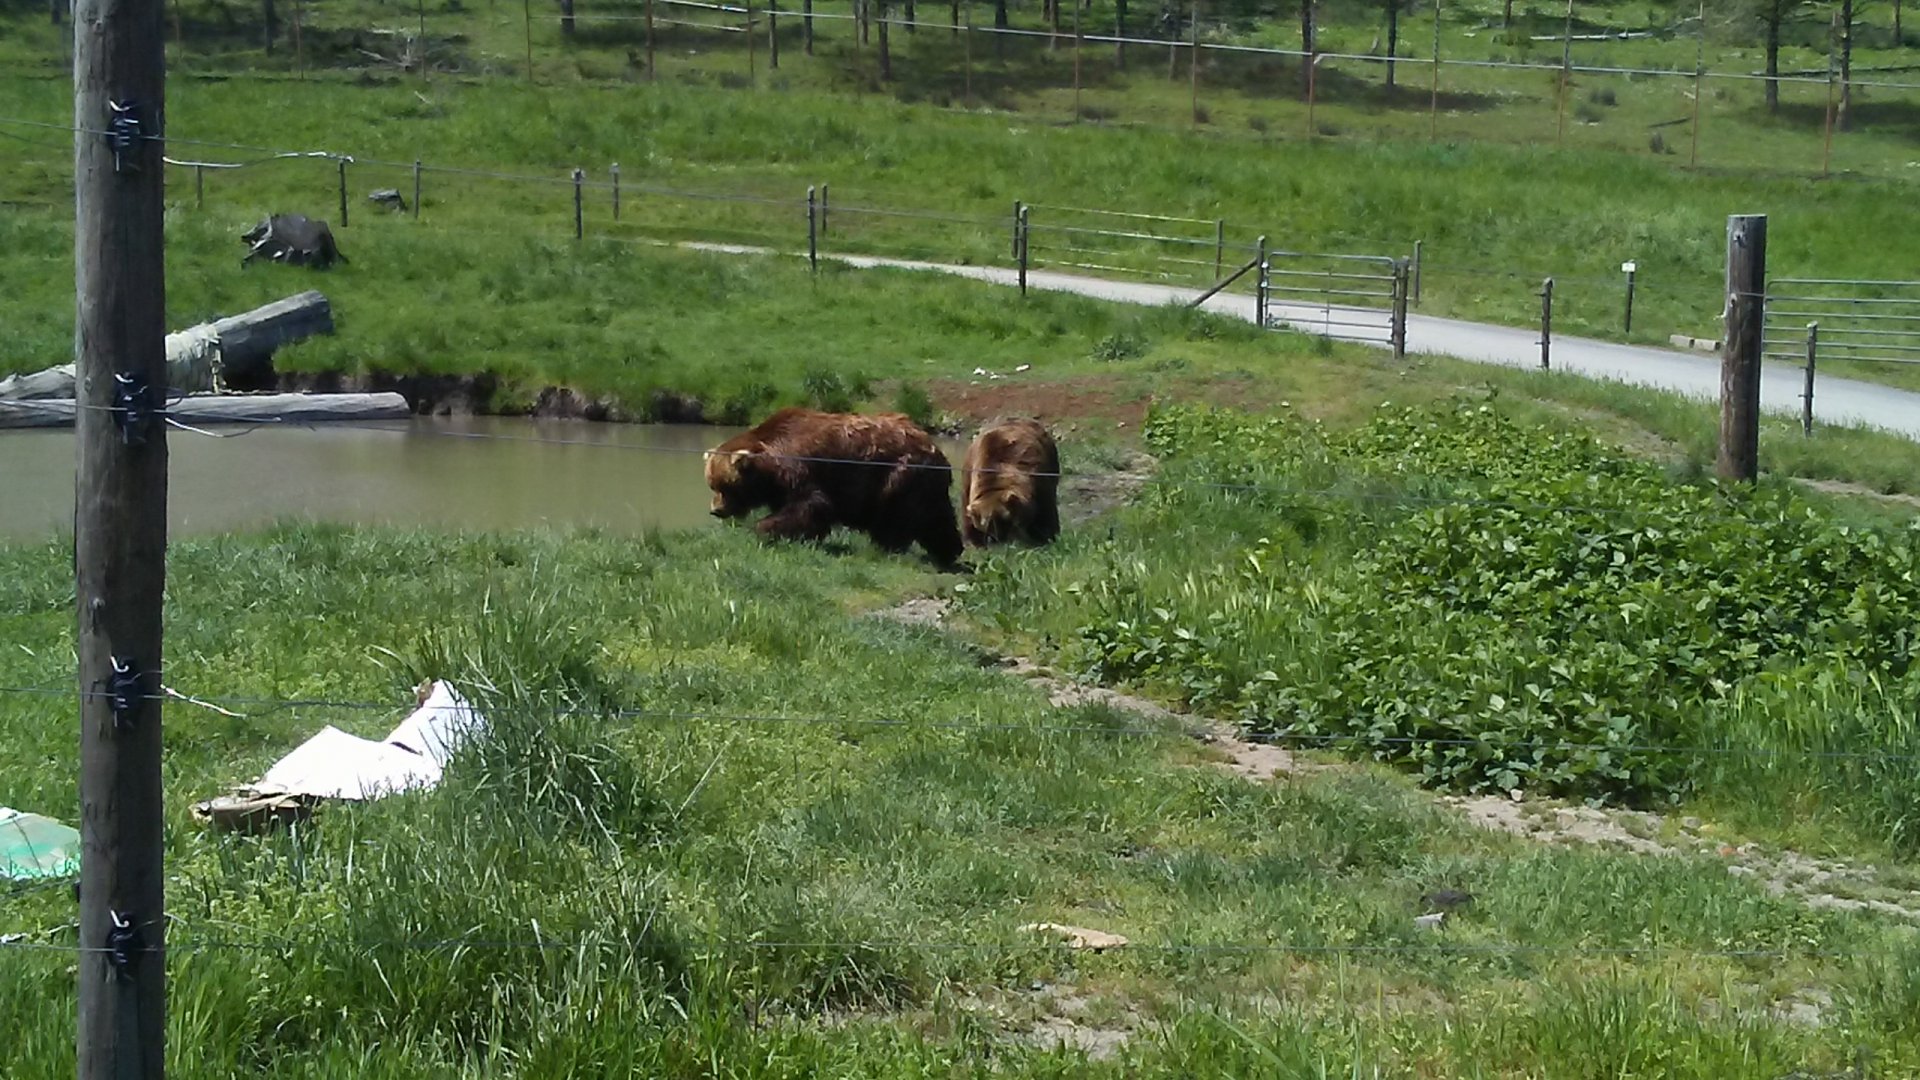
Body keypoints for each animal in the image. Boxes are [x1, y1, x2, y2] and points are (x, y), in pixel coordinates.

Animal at [705, 406, 965, 568]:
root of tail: (933, 445)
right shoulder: (781, 485)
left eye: (725, 486)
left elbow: (809, 505)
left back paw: (888, 546)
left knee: (898, 515)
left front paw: (764, 528)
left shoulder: (801, 468)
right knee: (935, 517)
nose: (715, 510)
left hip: (900, 473)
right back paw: (949, 551)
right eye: (712, 485)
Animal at [960, 417, 1061, 548]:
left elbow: (1046, 512)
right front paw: (974, 542)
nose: (1000, 540)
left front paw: (1045, 537)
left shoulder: (1039, 478)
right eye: (987, 526)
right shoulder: (969, 474)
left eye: (1005, 521)